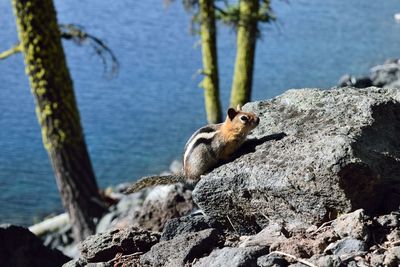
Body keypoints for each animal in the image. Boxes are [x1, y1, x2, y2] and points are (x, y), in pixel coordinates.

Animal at [125, 105, 260, 195]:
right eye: (244, 118)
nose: (258, 119)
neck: (229, 130)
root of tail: (185, 172)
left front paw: (250, 140)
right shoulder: (222, 147)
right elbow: (225, 156)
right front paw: (236, 155)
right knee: (195, 178)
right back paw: (204, 173)